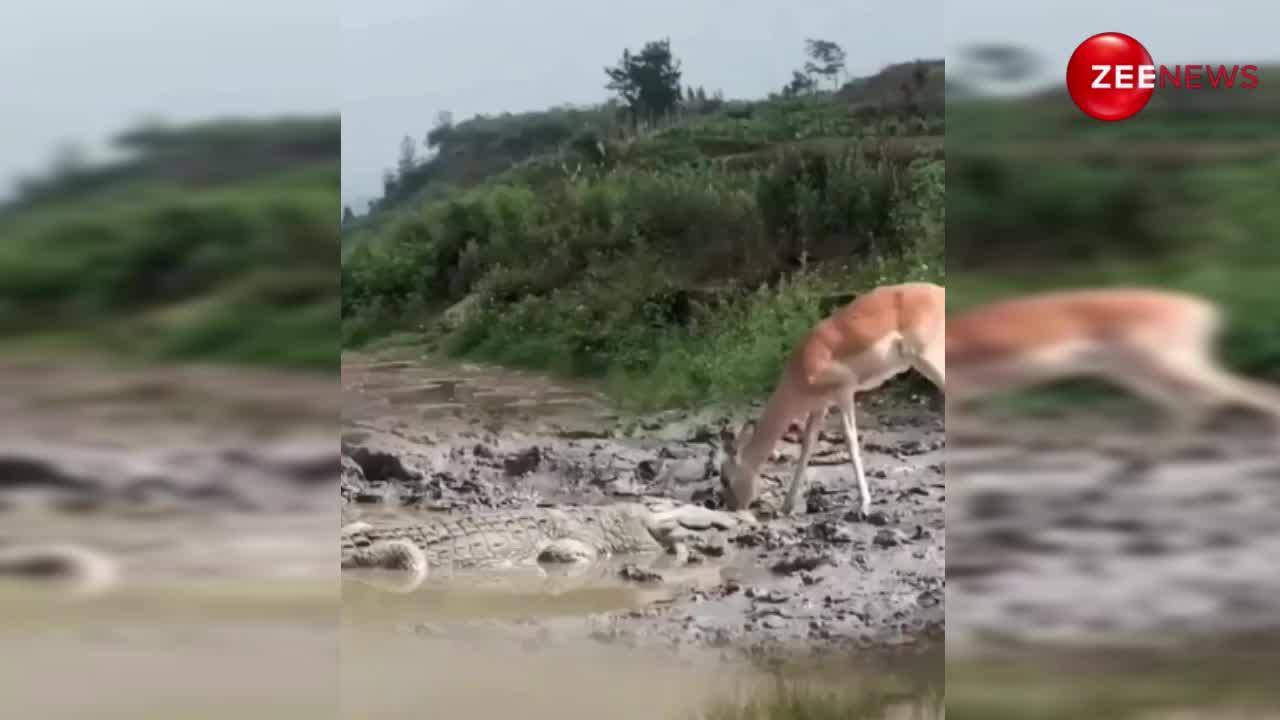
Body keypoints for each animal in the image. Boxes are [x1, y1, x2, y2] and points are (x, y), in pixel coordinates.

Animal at [716, 278, 947, 512]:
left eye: (724, 477)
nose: (732, 507)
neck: (802, 368)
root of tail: (939, 291)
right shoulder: (820, 406)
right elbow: (807, 445)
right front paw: (787, 506)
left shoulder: (844, 391)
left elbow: (850, 440)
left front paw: (864, 502)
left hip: (927, 357)